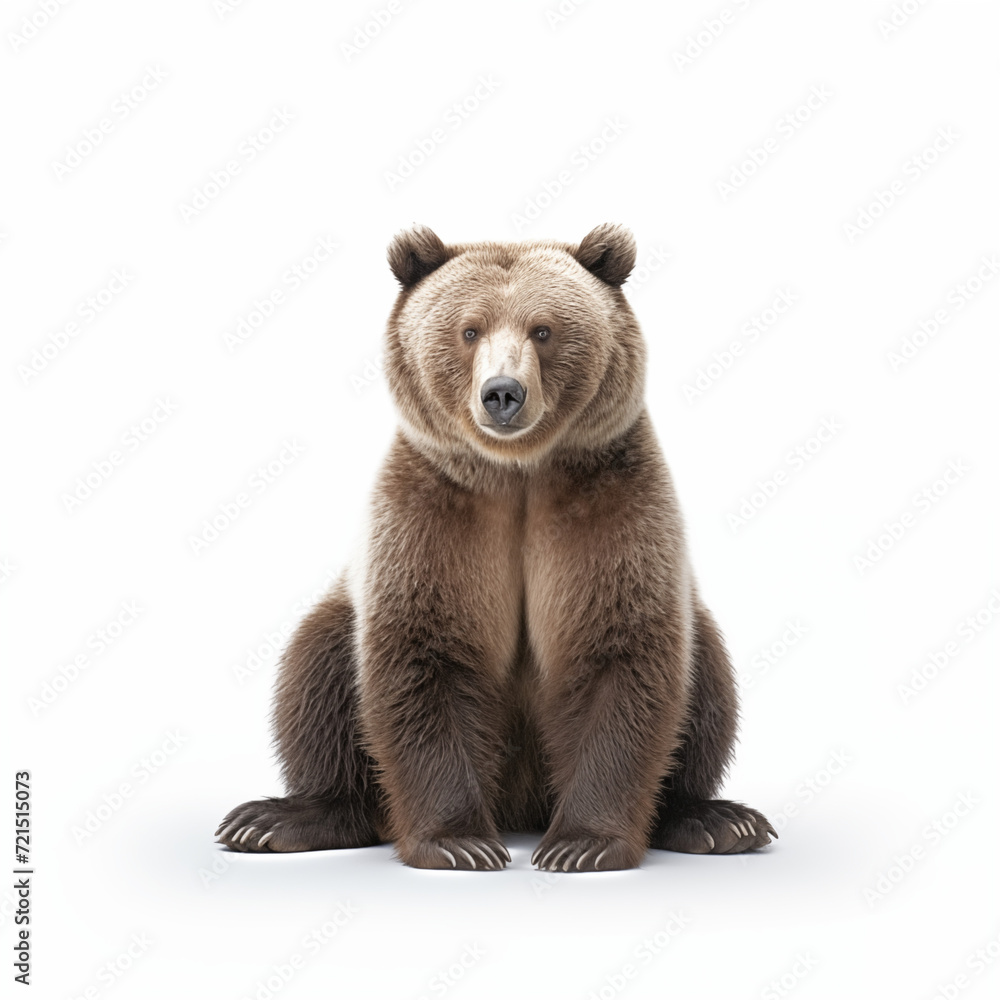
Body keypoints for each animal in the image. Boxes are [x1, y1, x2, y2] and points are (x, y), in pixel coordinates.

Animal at [216, 223, 775, 871]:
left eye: (544, 329)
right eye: (469, 329)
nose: (502, 393)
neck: (518, 473)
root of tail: (522, 806)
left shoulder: (612, 503)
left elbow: (622, 652)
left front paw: (581, 843)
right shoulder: (435, 514)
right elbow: (424, 654)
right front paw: (460, 841)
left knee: (708, 680)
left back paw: (718, 820)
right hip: (341, 620)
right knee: (317, 669)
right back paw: (279, 818)